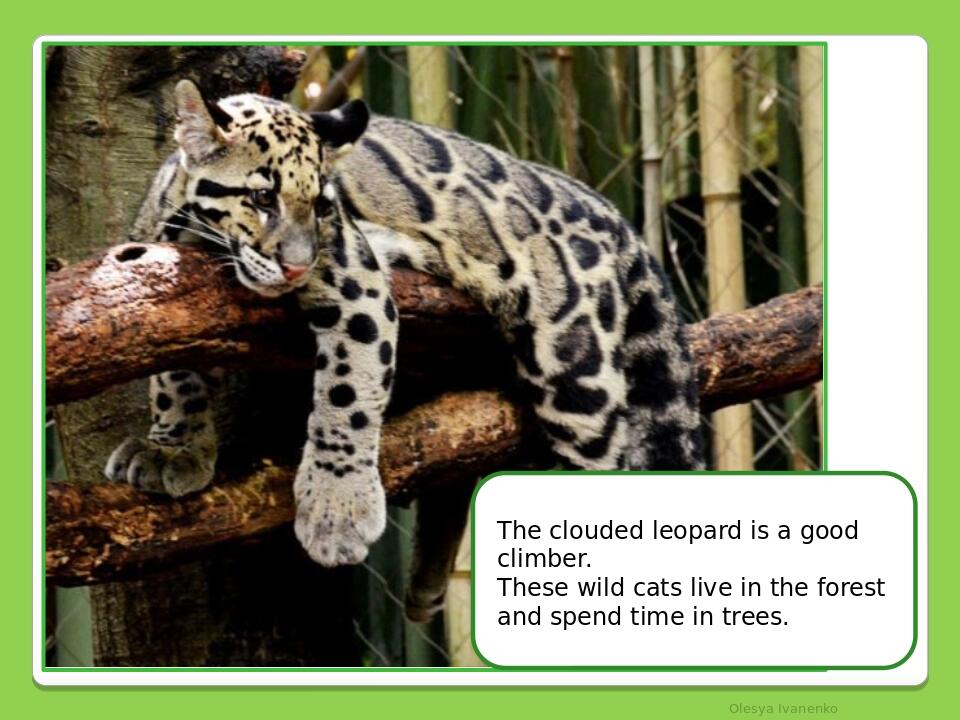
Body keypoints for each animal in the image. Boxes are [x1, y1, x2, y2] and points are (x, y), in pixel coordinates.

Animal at [104, 79, 704, 618]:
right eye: (261, 196)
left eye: (322, 207)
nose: (297, 265)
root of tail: (612, 212)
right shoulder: (164, 281)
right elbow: (175, 373)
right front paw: (174, 447)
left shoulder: (355, 283)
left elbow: (346, 396)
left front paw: (337, 512)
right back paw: (429, 583)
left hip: (576, 378)